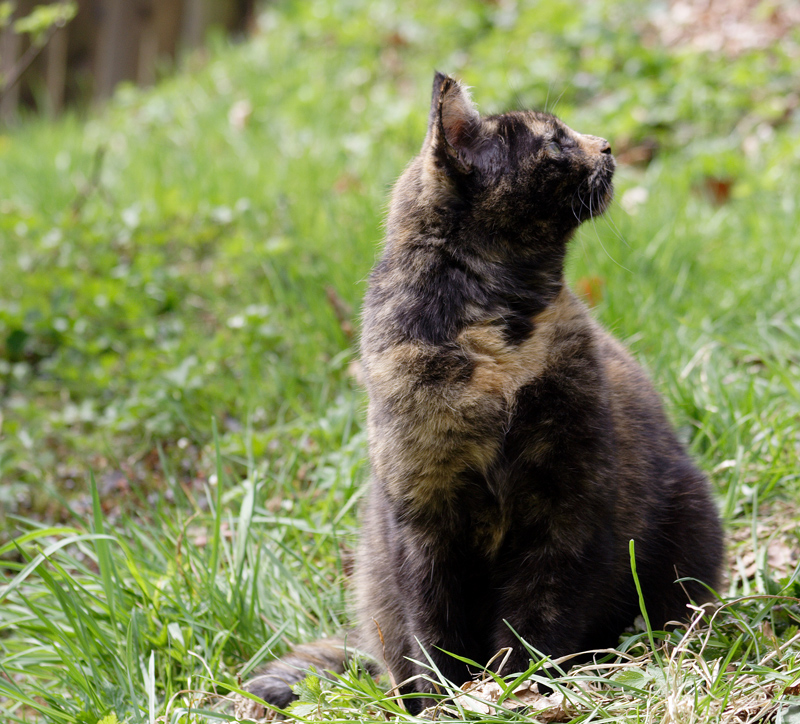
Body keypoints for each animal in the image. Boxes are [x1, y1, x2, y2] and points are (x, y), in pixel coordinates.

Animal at [245, 70, 724, 716]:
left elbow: (537, 618)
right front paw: (449, 700)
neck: (497, 344)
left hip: (689, 529)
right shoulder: (423, 520)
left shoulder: (567, 509)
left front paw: (516, 689)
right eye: (554, 141)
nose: (606, 146)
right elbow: (434, 630)